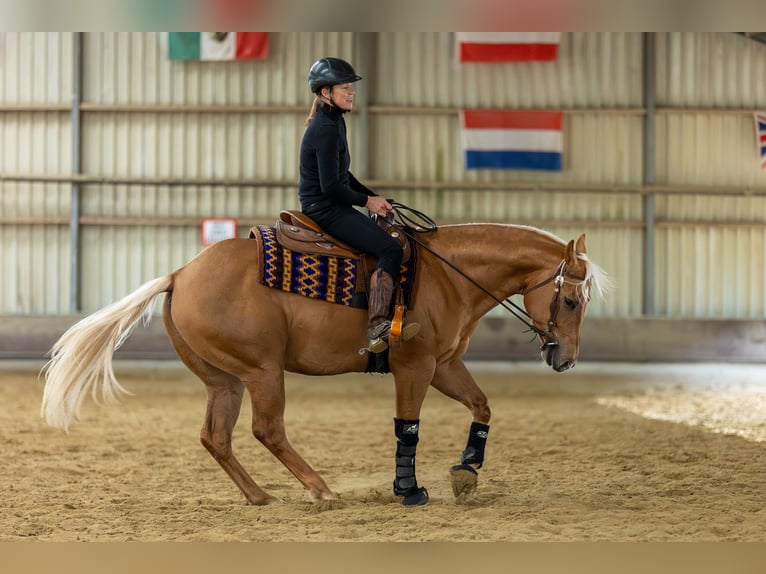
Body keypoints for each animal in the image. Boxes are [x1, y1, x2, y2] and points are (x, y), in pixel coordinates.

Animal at [42, 220, 608, 508]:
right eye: (571, 301)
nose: (566, 359)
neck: (447, 274)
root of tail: (179, 274)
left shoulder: (446, 364)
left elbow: (482, 406)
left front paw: (467, 469)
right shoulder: (416, 366)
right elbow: (408, 427)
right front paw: (409, 490)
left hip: (223, 379)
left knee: (215, 437)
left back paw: (261, 497)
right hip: (262, 371)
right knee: (267, 429)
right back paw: (319, 488)